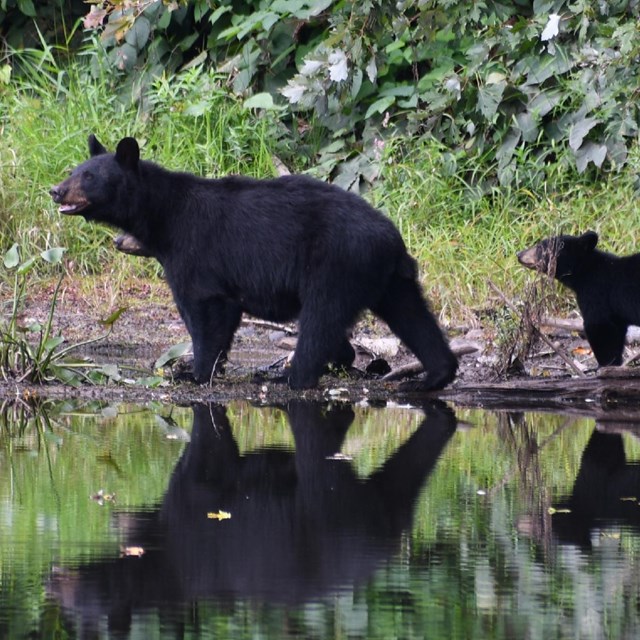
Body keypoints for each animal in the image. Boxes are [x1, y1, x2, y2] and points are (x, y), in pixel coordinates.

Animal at [52, 135, 458, 390]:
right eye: (73, 169)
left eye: (89, 176)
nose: (56, 190)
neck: (163, 216)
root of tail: (391, 240)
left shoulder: (194, 252)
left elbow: (205, 310)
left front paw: (195, 372)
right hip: (389, 279)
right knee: (413, 316)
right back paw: (434, 376)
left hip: (337, 264)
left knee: (320, 318)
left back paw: (292, 377)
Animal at [516, 231, 640, 368]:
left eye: (540, 247)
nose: (519, 254)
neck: (585, 272)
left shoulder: (596, 295)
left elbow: (600, 328)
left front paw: (606, 366)